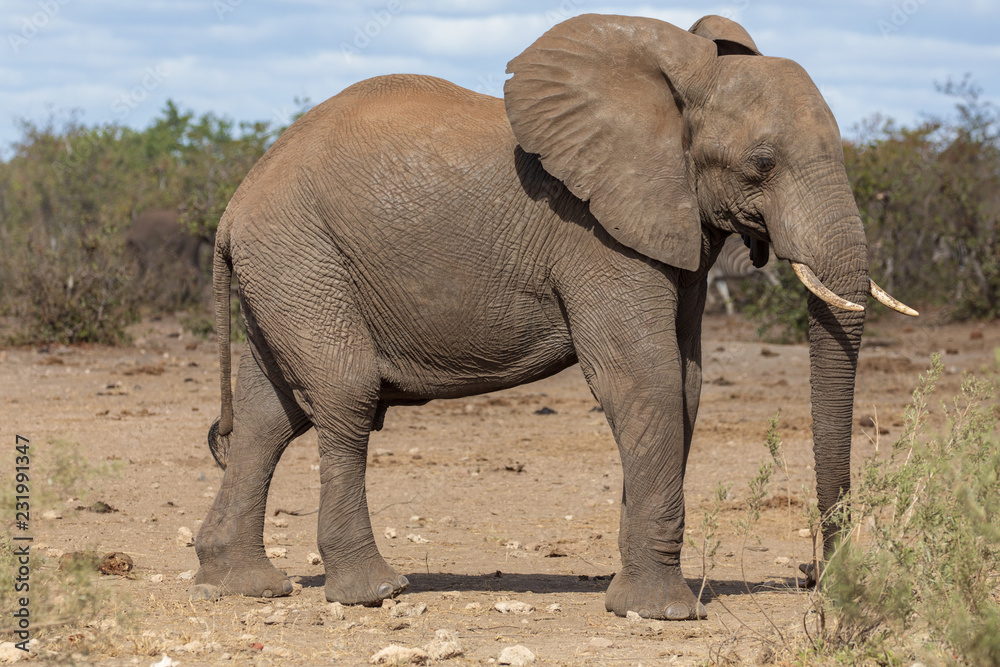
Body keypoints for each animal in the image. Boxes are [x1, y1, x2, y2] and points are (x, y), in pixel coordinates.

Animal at [193, 14, 917, 620]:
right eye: (762, 164)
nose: (817, 576)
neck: (679, 82)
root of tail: (233, 205)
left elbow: (684, 384)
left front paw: (631, 597)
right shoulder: (597, 234)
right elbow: (646, 377)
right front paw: (661, 613)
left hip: (288, 269)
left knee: (268, 415)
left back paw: (241, 585)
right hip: (302, 255)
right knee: (344, 396)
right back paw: (374, 592)